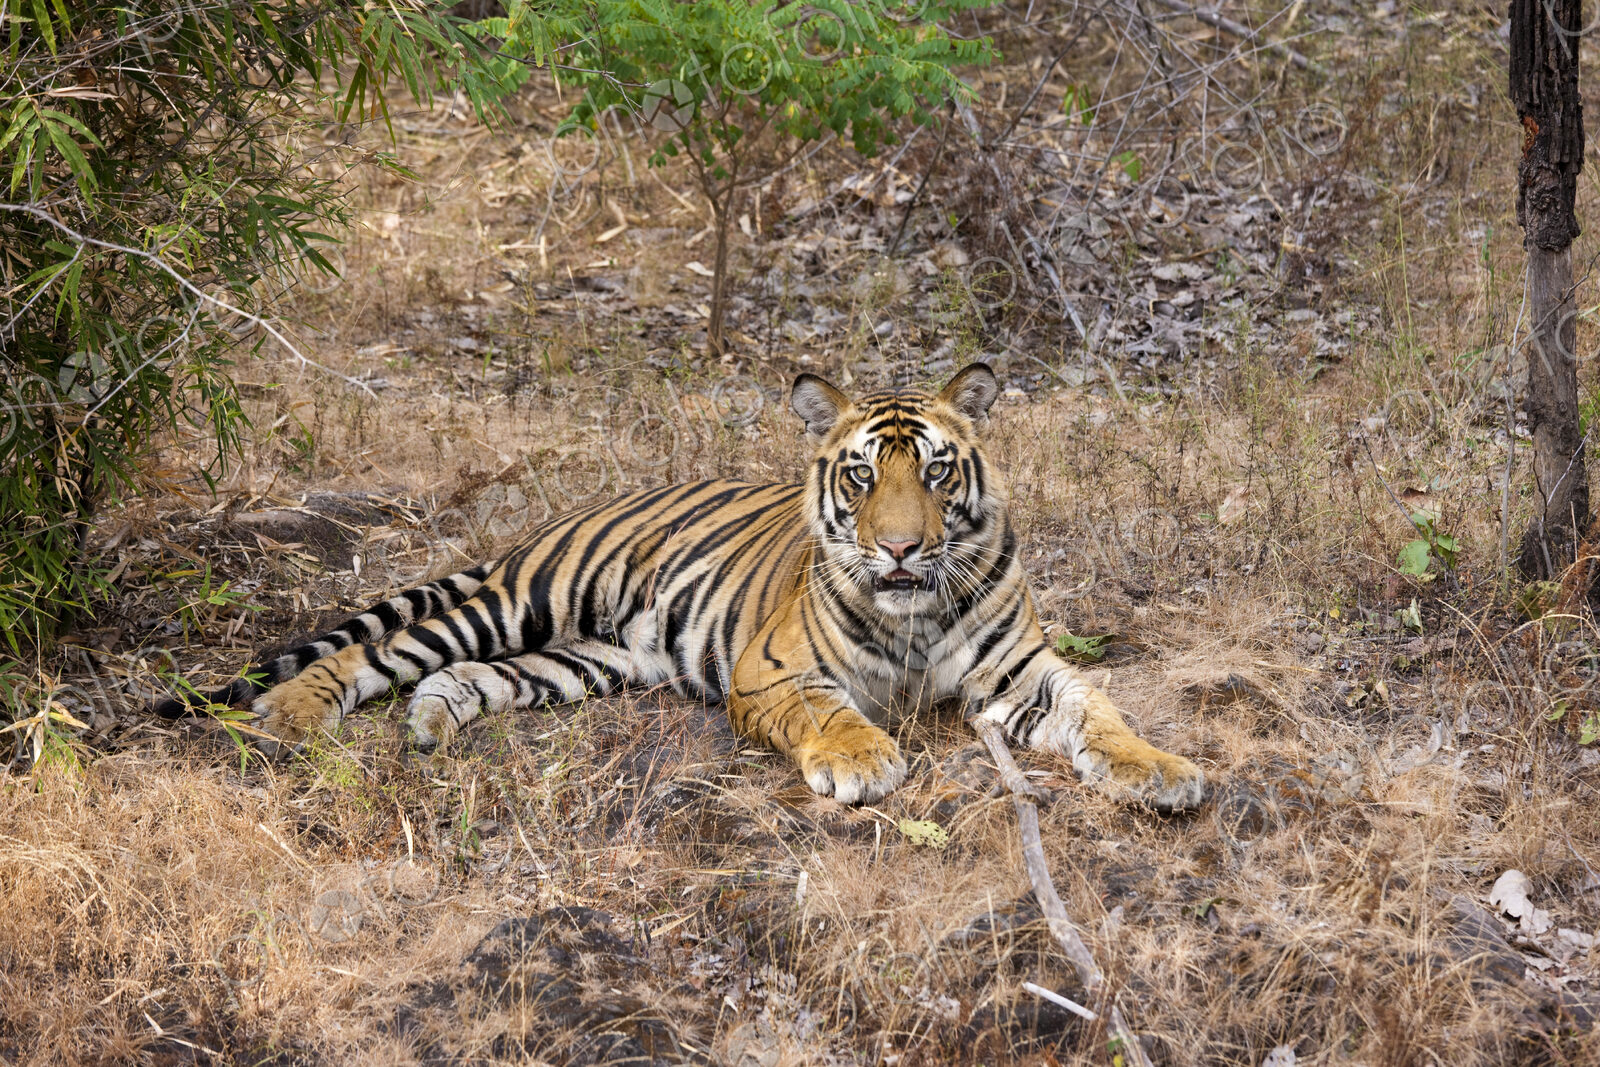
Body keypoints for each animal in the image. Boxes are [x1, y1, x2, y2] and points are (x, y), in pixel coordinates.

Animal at [155, 364, 1204, 810]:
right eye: (863, 474)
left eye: (938, 472)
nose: (902, 548)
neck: (913, 613)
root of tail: (550, 521)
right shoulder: (773, 671)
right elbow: (834, 715)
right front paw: (864, 761)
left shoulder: (1023, 671)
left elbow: (1100, 708)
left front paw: (1161, 770)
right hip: (518, 601)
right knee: (379, 651)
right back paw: (289, 715)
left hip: (588, 659)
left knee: (462, 678)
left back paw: (431, 724)